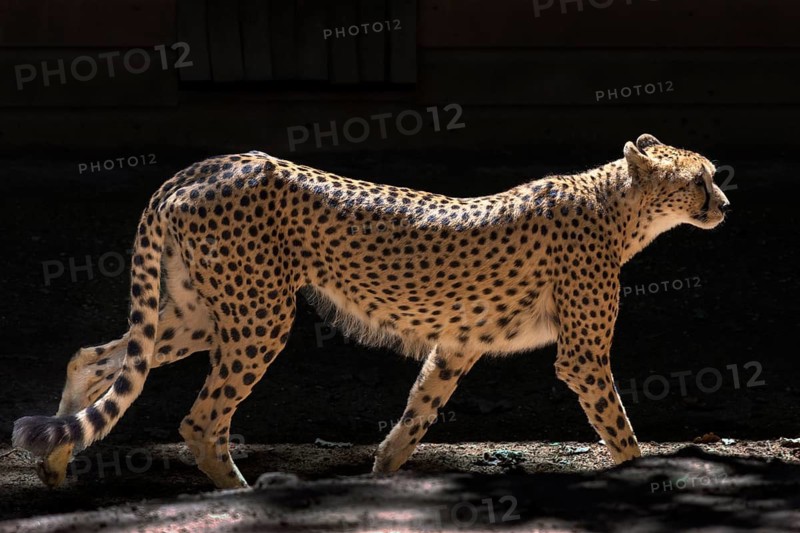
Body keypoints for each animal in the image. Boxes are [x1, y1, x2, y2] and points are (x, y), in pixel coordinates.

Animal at [13, 133, 730, 489]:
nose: (725, 204)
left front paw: (381, 476)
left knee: (94, 358)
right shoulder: (580, 357)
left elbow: (415, 416)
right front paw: (647, 474)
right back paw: (241, 495)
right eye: (699, 179)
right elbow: (619, 428)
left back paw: (54, 467)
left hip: (198, 314)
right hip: (257, 316)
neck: (620, 205)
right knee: (199, 419)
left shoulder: (458, 344)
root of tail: (206, 164)